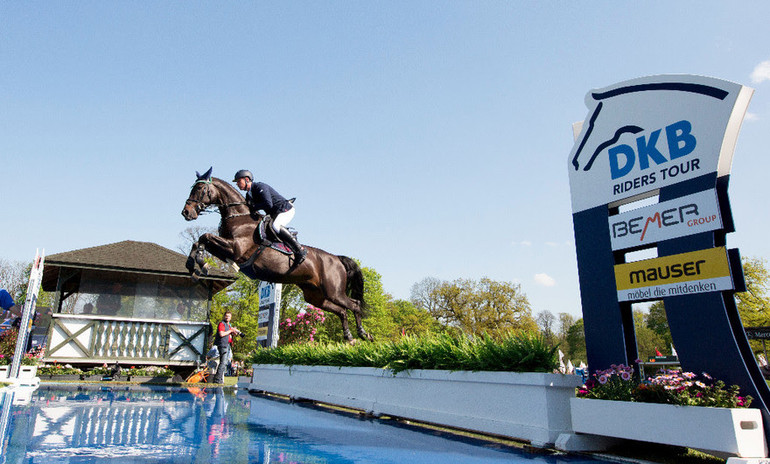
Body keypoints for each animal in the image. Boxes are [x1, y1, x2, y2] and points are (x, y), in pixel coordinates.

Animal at [181, 167, 372, 340]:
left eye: (200, 189)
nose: (186, 212)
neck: (239, 217)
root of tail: (336, 259)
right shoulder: (227, 251)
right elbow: (200, 240)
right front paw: (195, 267)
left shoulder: (235, 248)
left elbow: (205, 236)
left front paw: (201, 264)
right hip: (316, 296)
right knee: (342, 311)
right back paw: (349, 336)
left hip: (334, 292)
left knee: (354, 305)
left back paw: (364, 334)